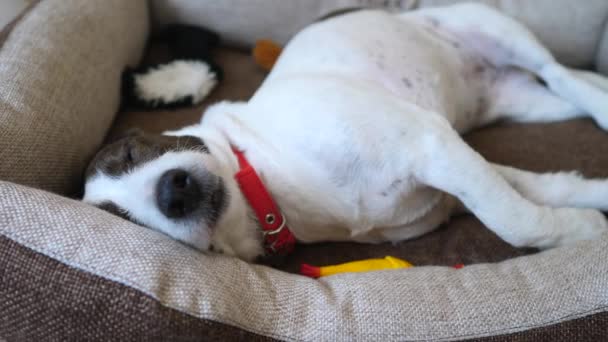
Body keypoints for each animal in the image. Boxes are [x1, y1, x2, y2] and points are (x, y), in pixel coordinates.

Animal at [83, 3, 608, 262]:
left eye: (131, 152)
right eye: (124, 219)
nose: (172, 193)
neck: (268, 182)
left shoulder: (430, 143)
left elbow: (514, 220)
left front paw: (586, 231)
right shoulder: (449, 172)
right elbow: (535, 194)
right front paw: (587, 218)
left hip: (497, 30)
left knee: (562, 73)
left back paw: (600, 105)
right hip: (528, 104)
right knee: (568, 85)